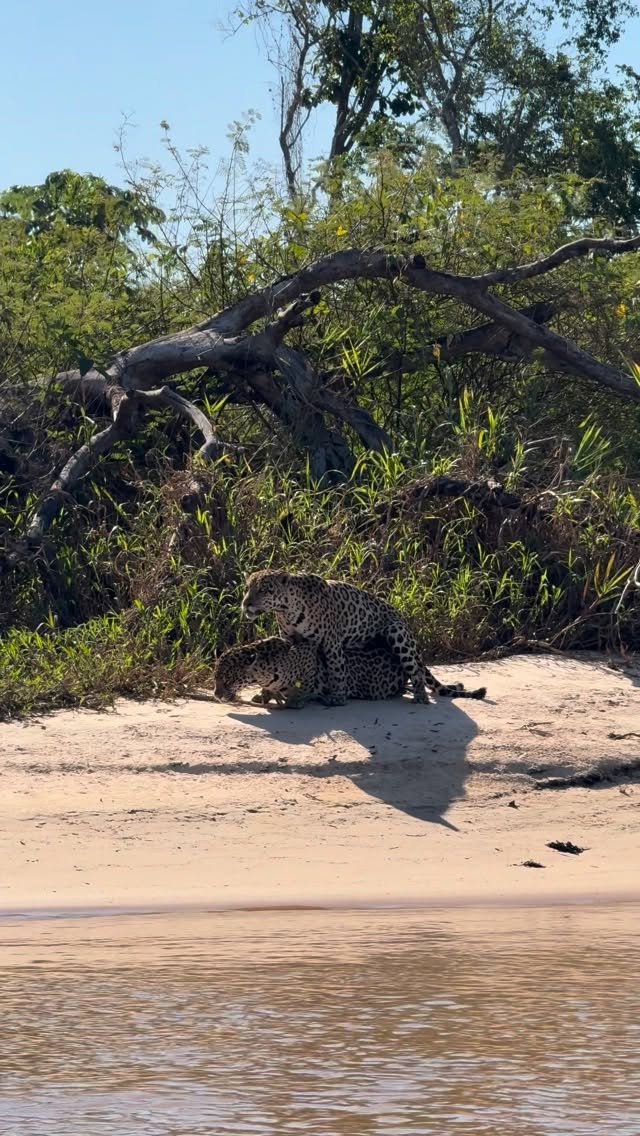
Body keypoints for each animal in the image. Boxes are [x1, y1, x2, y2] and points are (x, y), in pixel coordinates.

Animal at [213, 635, 486, 708]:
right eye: (215, 678)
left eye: (226, 678)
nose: (216, 694)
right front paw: (264, 696)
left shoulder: (310, 664)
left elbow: (306, 687)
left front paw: (294, 700)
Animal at [241, 569, 483, 706]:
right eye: (247, 588)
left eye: (265, 589)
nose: (246, 603)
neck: (287, 611)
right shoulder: (290, 639)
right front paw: (266, 695)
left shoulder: (331, 642)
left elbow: (337, 670)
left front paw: (338, 698)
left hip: (397, 633)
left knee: (415, 671)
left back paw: (420, 697)